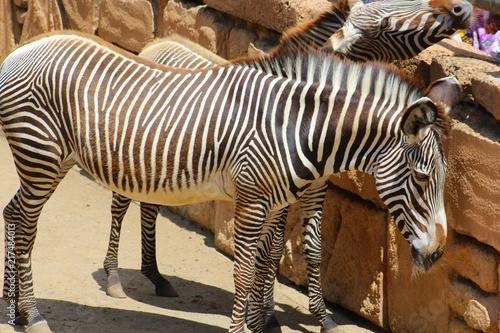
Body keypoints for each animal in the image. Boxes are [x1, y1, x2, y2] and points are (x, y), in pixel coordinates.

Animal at [0, 31, 460, 332]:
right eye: (422, 179)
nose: (438, 254)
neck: (299, 128)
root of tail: (23, 49)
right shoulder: (253, 201)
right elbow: (243, 272)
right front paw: (247, 327)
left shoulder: (277, 203)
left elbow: (266, 264)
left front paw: (264, 323)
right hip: (40, 156)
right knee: (27, 230)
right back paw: (35, 315)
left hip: (51, 160)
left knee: (14, 214)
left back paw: (13, 310)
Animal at [102, 0, 472, 328]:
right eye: (422, 179)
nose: (462, 9)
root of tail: (158, 42)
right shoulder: (273, 192)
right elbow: (271, 249)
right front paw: (265, 316)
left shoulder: (310, 191)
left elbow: (307, 248)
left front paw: (314, 318)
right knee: (120, 205)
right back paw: (114, 277)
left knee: (150, 205)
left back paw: (155, 276)